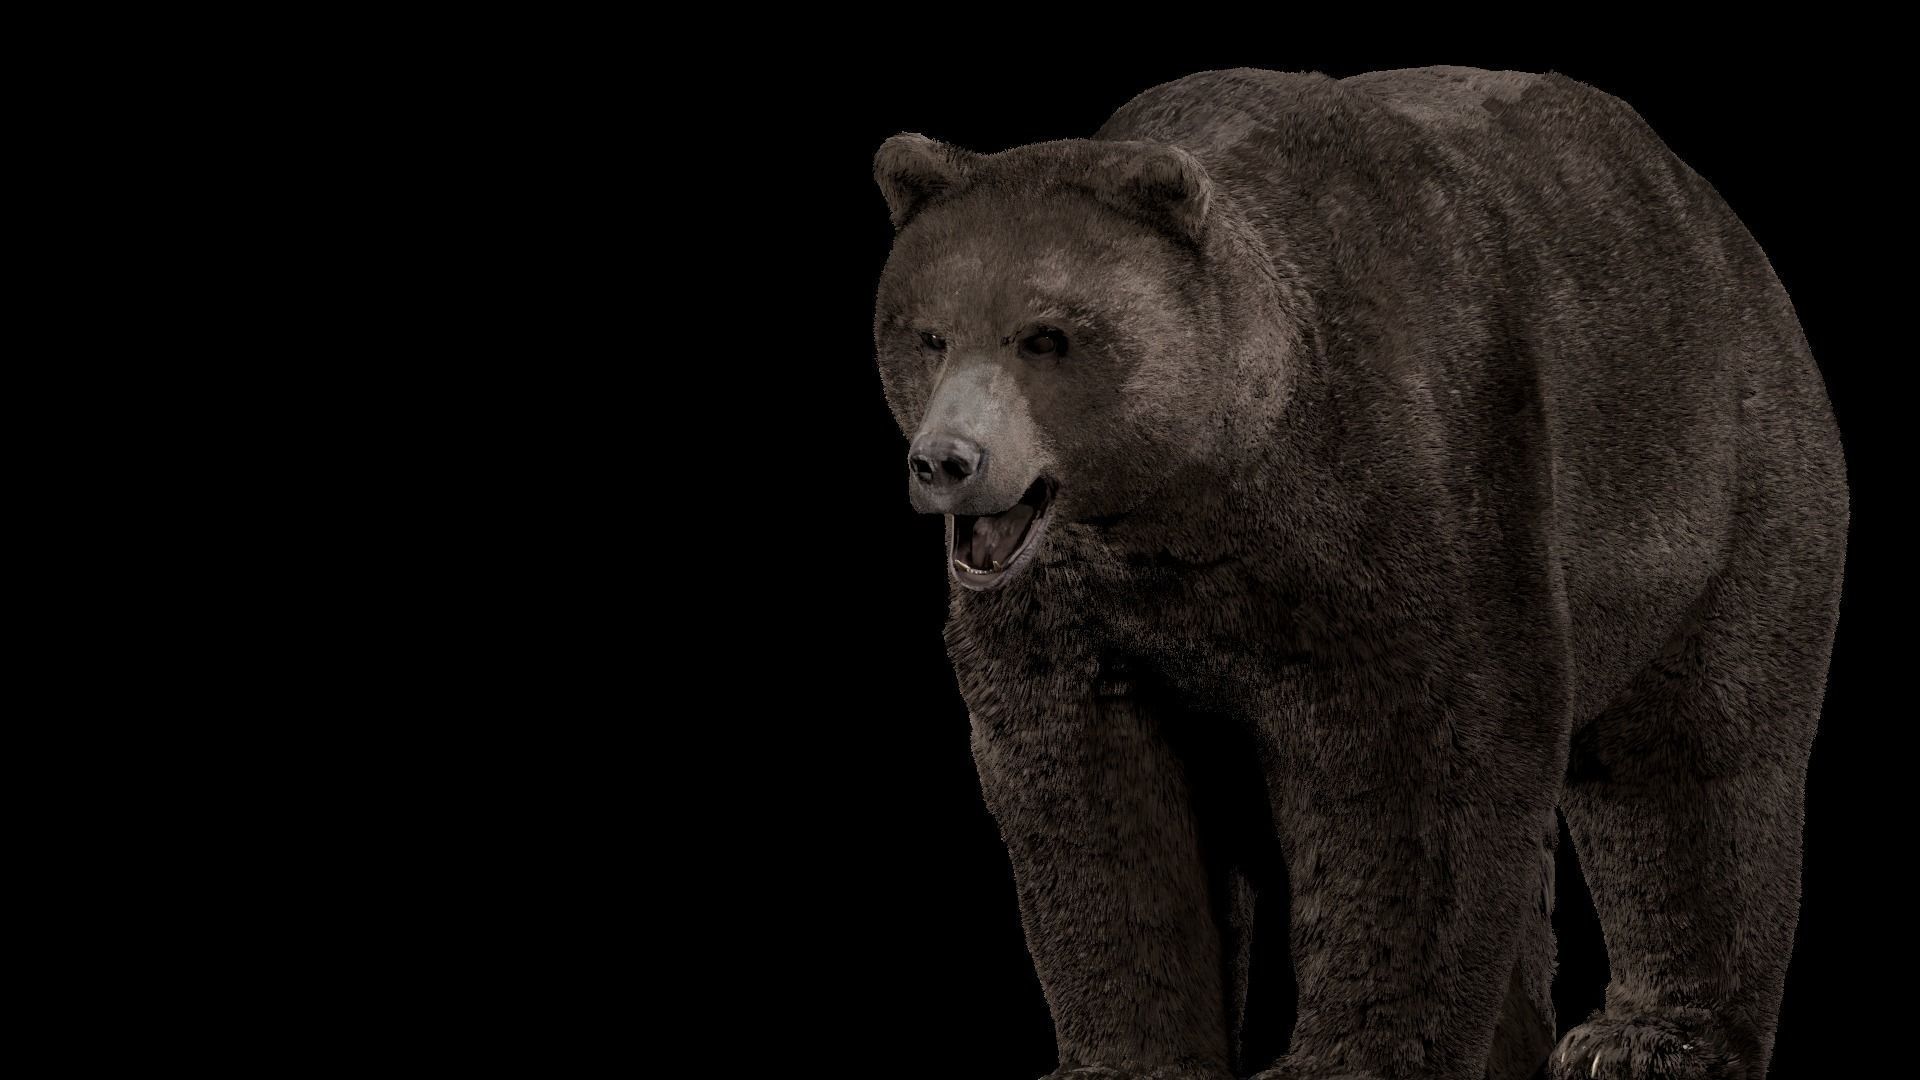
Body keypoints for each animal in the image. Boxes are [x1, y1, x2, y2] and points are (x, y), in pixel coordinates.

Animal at [868, 66, 1847, 1080]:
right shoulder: (1076, 605)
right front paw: (1123, 1058)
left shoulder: (1406, 486)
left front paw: (1350, 1055)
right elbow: (1090, 784)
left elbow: (1418, 753)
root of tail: (1714, 213)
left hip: (1720, 481)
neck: (1196, 497)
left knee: (1695, 753)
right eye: (928, 334)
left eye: (1046, 336)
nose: (946, 461)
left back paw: (1644, 1039)